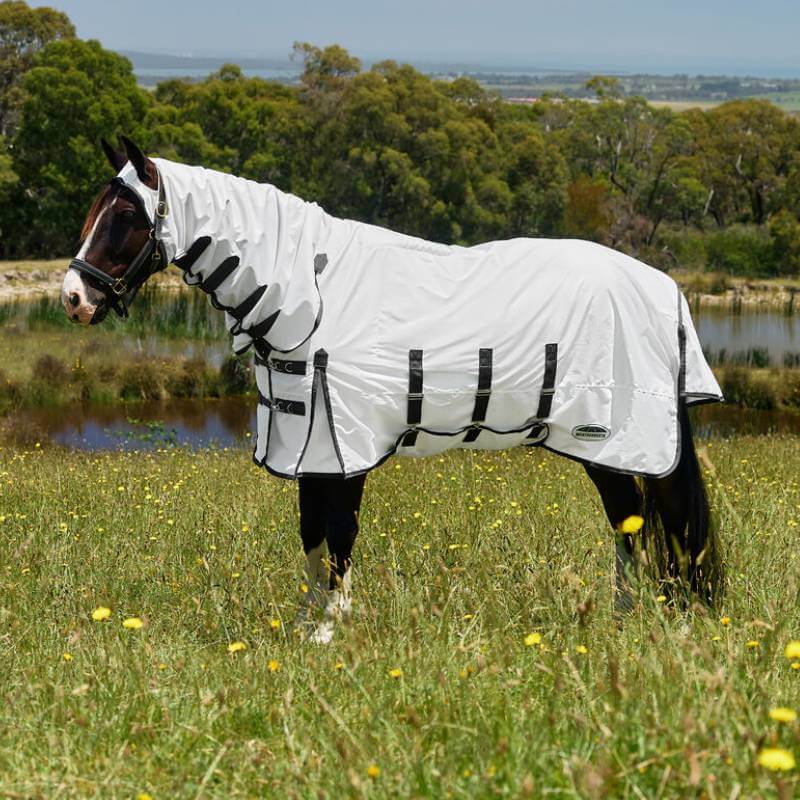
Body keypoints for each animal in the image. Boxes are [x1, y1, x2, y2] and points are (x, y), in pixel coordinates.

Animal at [62, 136, 723, 643]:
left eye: (126, 217)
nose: (74, 298)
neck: (310, 294)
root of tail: (665, 289)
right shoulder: (306, 446)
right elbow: (311, 536)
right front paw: (308, 626)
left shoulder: (341, 447)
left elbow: (338, 536)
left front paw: (331, 628)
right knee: (631, 525)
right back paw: (629, 616)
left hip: (618, 441)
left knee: (653, 523)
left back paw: (668, 617)